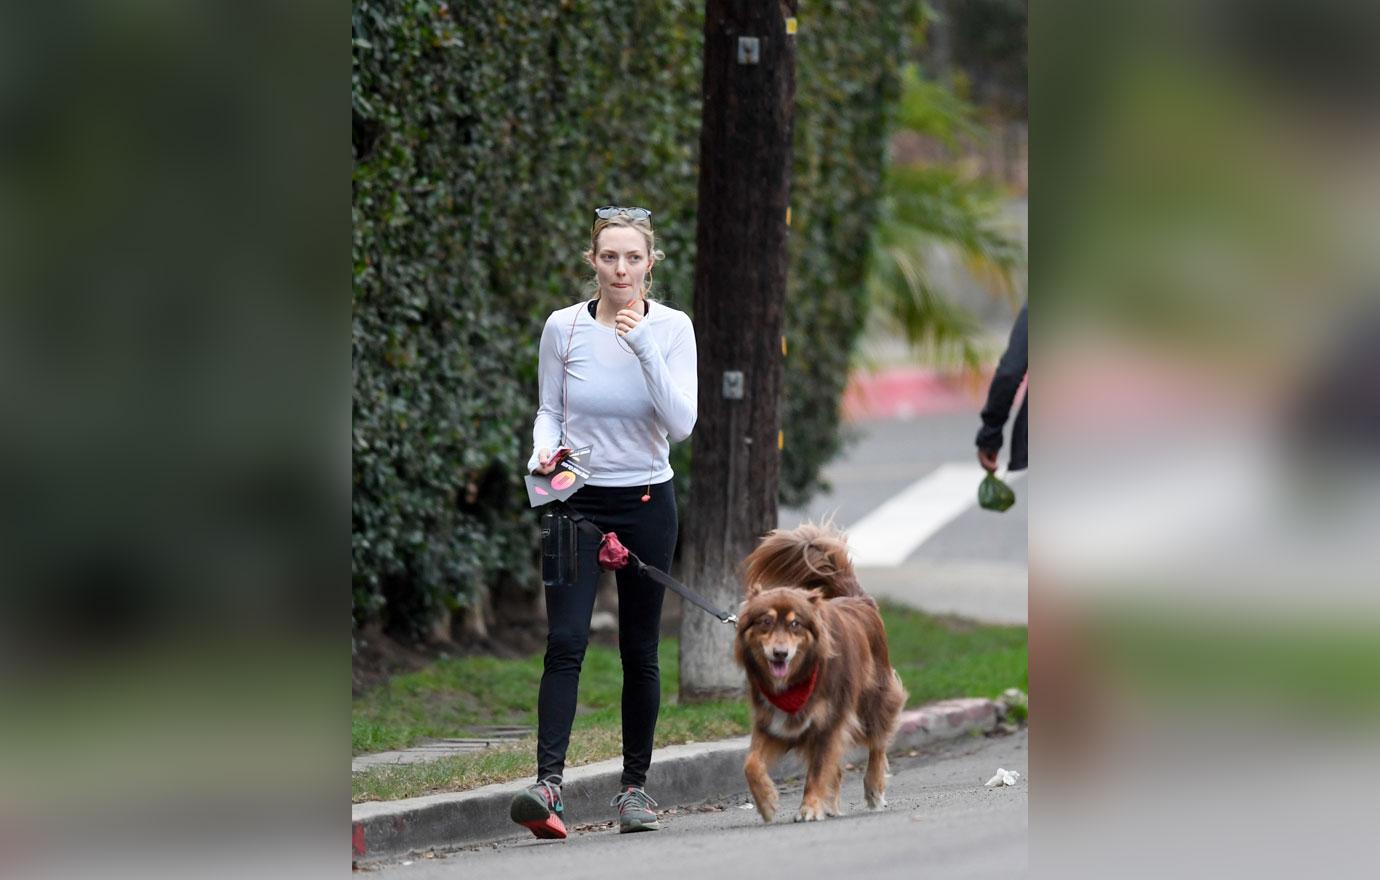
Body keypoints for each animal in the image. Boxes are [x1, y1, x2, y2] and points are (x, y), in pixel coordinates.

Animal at [734, 526, 905, 822]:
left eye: (795, 624)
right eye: (766, 622)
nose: (780, 654)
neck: (795, 683)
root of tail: (860, 600)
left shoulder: (829, 723)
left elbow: (817, 771)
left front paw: (809, 807)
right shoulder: (772, 723)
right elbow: (751, 763)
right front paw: (766, 801)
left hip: (874, 699)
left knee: (877, 743)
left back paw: (873, 789)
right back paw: (832, 805)